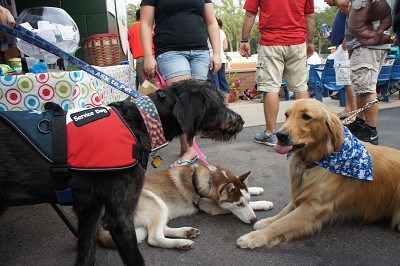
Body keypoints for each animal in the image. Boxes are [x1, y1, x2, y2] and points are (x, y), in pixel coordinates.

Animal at [0, 79, 244, 266]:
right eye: (218, 104)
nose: (240, 121)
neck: (140, 122)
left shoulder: (88, 211)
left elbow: (86, 255)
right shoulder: (119, 218)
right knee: (154, 236)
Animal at [97, 162, 274, 249]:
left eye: (246, 201)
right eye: (238, 204)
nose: (253, 220)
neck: (209, 179)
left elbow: (249, 191)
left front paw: (256, 191)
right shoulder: (211, 207)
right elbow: (229, 209)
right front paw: (262, 204)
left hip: (162, 209)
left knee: (161, 229)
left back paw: (185, 232)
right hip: (157, 203)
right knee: (154, 238)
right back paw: (181, 243)